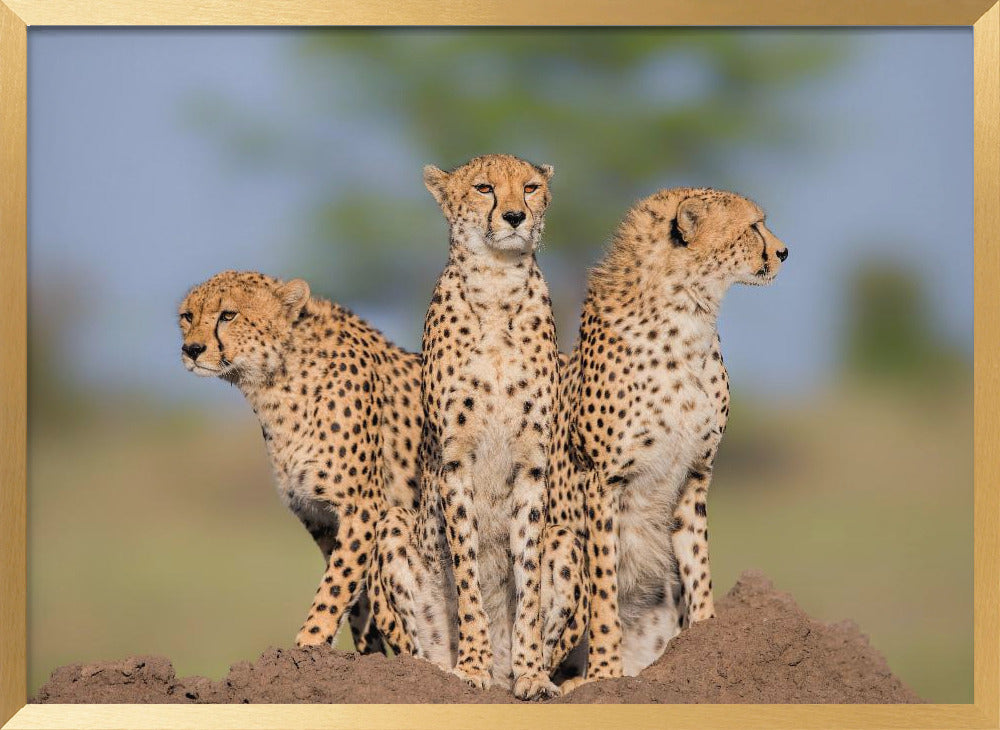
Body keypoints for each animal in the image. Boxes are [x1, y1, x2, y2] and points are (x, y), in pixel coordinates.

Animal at [554, 187, 789, 691]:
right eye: (753, 226)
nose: (784, 252)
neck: (688, 315)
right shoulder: (603, 482)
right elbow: (604, 589)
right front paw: (605, 674)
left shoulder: (695, 475)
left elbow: (699, 567)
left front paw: (705, 639)